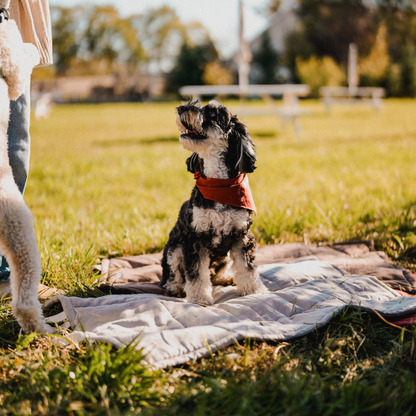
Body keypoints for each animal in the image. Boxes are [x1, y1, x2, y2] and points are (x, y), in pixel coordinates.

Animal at [160, 99, 266, 304]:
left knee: (216, 273)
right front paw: (199, 298)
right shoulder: (194, 237)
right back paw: (176, 288)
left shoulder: (241, 235)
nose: (181, 107)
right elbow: (196, 274)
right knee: (172, 276)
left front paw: (253, 291)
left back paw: (225, 278)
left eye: (212, 114)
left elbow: (247, 267)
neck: (218, 184)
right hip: (174, 249)